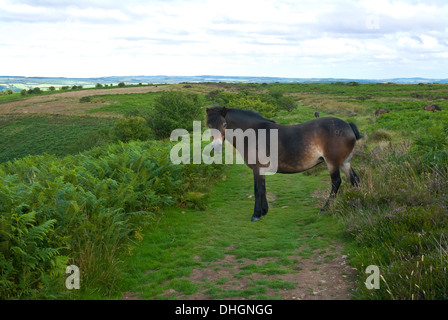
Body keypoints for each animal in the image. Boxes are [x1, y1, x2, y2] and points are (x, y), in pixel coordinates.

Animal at [206, 106, 364, 221]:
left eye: (224, 124)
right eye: (208, 125)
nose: (217, 146)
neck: (253, 134)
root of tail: (348, 126)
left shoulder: (257, 169)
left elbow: (258, 190)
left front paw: (256, 214)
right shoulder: (261, 170)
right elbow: (263, 189)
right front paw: (264, 211)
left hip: (333, 163)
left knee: (336, 182)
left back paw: (324, 209)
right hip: (345, 163)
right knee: (355, 180)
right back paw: (359, 204)